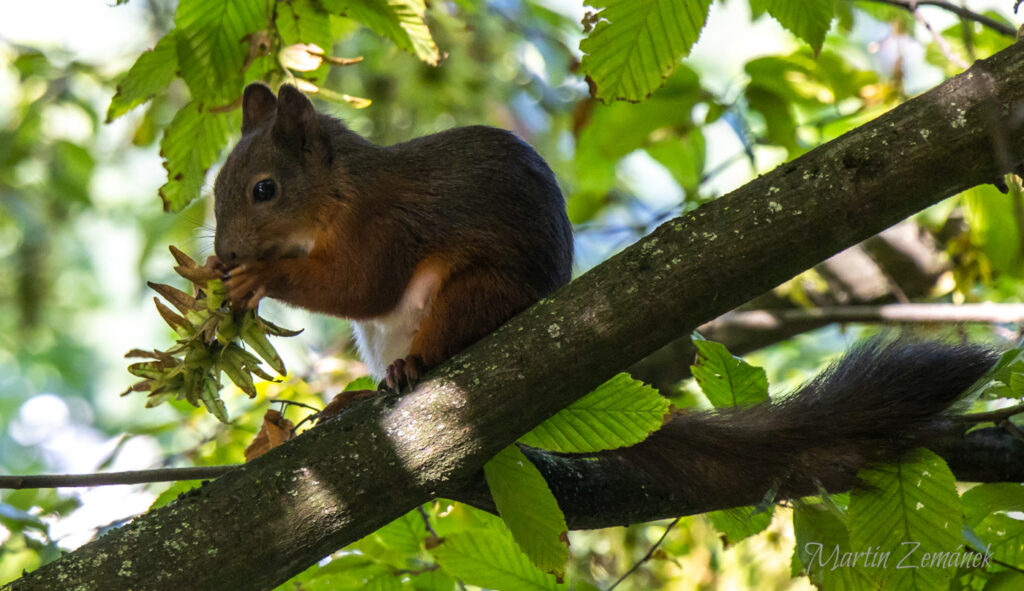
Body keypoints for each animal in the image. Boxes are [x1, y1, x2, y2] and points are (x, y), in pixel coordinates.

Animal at [214, 82, 991, 487]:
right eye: (216, 188)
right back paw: (355, 398)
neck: (340, 193)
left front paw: (261, 276)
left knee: (443, 335)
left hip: (477, 292)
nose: (222, 256)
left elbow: (362, 283)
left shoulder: (390, 226)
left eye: (264, 189)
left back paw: (413, 367)